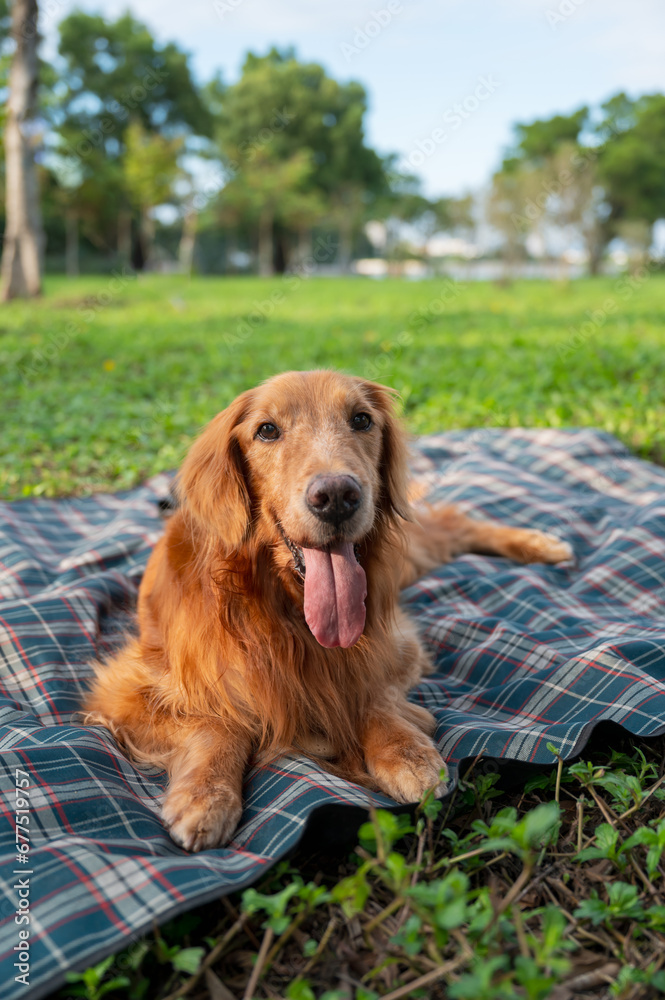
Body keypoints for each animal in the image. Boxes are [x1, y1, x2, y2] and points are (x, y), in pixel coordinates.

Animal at [83, 372, 572, 856]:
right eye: (267, 430)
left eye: (361, 419)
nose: (336, 496)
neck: (284, 611)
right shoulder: (126, 690)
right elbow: (218, 723)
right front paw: (206, 795)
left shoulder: (399, 644)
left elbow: (370, 692)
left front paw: (405, 752)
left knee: (456, 523)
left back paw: (540, 544)